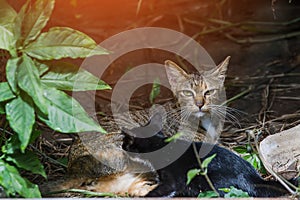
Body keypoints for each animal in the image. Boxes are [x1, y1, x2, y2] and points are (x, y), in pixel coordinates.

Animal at [122, 113, 290, 198]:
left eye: (125, 141)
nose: (121, 146)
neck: (160, 145)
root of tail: (255, 178)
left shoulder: (172, 179)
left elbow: (165, 189)